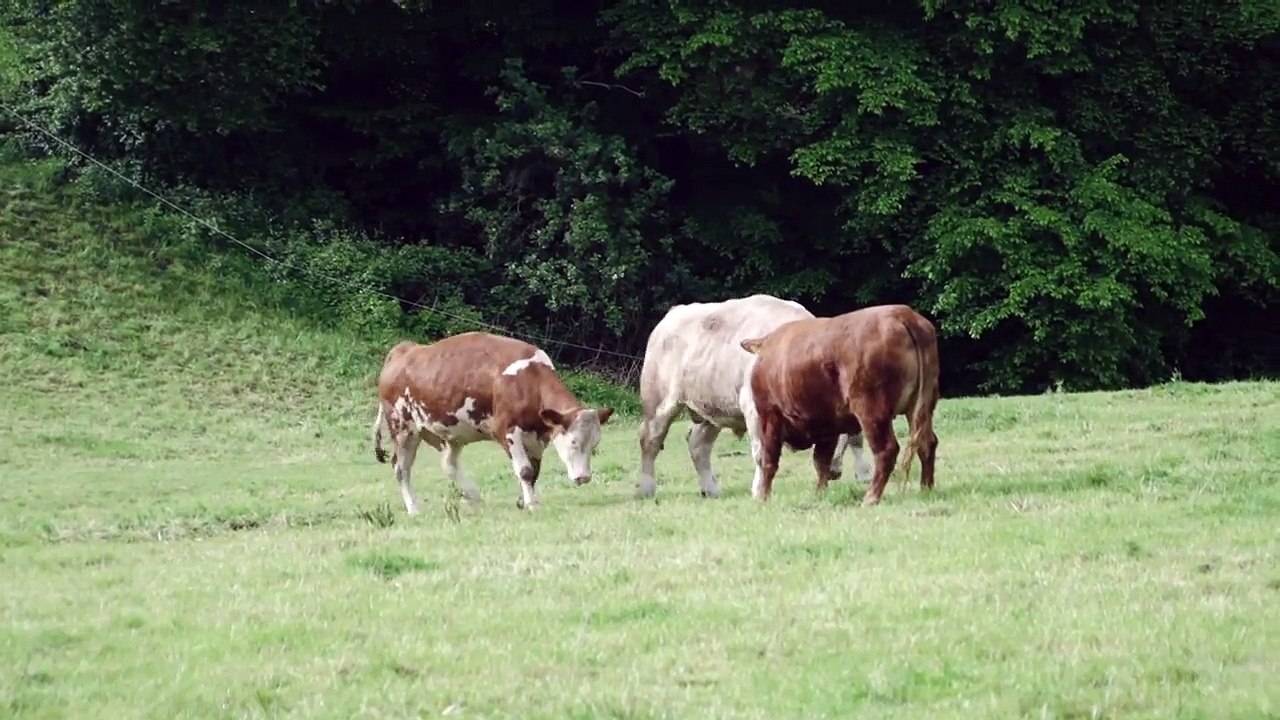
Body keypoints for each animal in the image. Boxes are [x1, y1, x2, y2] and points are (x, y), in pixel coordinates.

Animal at [370, 332, 615, 513]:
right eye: (573, 442)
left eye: (595, 445)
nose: (583, 477)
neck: (529, 380)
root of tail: (405, 350)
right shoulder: (506, 430)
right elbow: (525, 470)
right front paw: (532, 504)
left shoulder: (537, 436)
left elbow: (533, 471)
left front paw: (523, 501)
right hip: (403, 428)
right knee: (401, 468)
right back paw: (414, 507)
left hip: (452, 432)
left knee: (449, 464)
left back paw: (473, 495)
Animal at [637, 293, 871, 499]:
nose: (835, 472)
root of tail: (674, 313)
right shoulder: (755, 410)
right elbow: (763, 453)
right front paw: (759, 492)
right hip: (658, 402)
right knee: (650, 440)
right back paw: (646, 488)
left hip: (712, 408)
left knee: (698, 444)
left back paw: (710, 489)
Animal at [738, 303, 940, 506]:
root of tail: (902, 313)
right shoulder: (828, 425)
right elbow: (821, 461)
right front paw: (820, 494)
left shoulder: (769, 415)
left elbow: (769, 459)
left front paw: (762, 497)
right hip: (920, 407)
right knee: (927, 443)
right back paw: (926, 488)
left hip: (872, 411)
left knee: (887, 450)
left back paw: (870, 497)